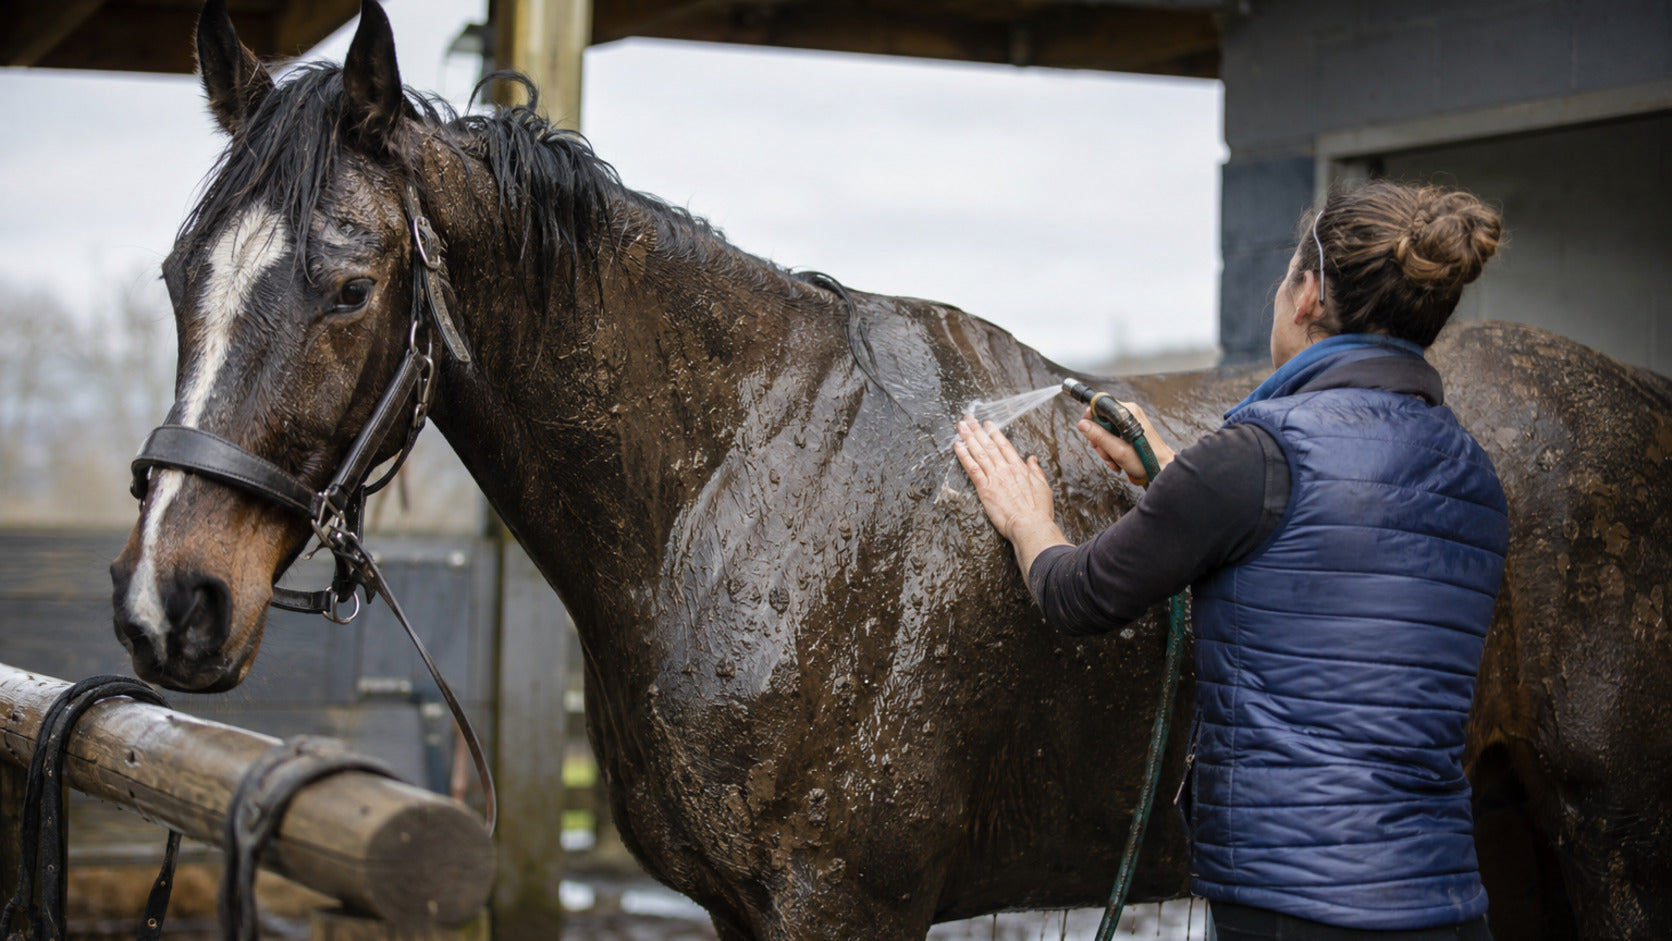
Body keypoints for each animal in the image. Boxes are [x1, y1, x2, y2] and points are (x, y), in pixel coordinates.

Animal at [110, 2, 1672, 938]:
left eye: (347, 287)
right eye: (182, 274)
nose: (167, 602)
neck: (737, 489)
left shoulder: (848, 906)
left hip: (1607, 842)